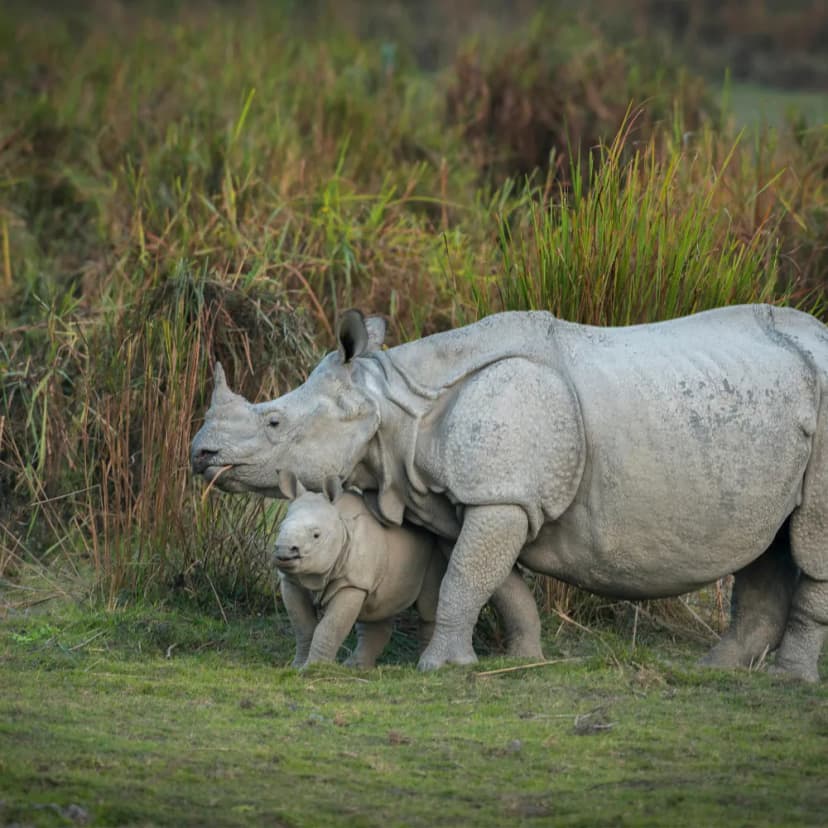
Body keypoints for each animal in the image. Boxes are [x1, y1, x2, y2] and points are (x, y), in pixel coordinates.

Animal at [273, 476, 446, 669]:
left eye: (316, 535)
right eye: (279, 529)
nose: (284, 550)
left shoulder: (352, 583)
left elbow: (329, 628)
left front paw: (312, 668)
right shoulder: (291, 580)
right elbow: (302, 626)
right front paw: (296, 667)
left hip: (435, 549)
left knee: (428, 606)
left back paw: (424, 665)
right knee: (376, 608)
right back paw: (356, 667)